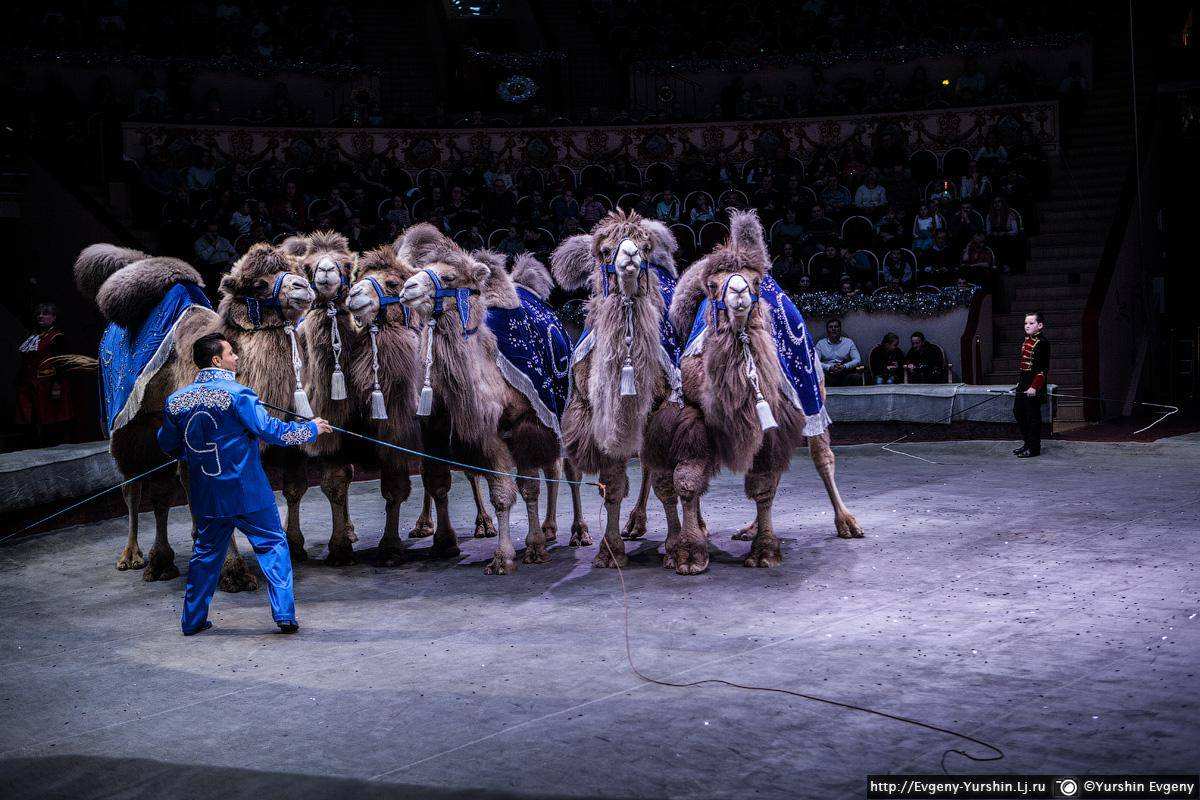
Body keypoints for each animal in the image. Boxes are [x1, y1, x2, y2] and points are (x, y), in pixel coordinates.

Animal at [393, 225, 561, 573]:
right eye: (417, 271)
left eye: (449, 277)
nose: (408, 288)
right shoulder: (476, 431)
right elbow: (495, 491)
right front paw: (497, 555)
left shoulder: (527, 420)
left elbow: (529, 487)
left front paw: (533, 547)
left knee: (555, 468)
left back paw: (559, 529)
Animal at [552, 206, 686, 568]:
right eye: (605, 249)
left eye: (646, 246)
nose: (630, 258)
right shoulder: (596, 416)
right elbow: (611, 484)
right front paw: (609, 551)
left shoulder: (660, 409)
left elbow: (665, 482)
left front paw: (676, 545)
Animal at [648, 211, 864, 575]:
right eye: (713, 285)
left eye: (755, 281)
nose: (738, 292)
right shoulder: (689, 414)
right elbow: (687, 480)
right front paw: (689, 553)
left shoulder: (775, 420)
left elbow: (763, 485)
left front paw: (764, 550)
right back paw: (737, 528)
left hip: (814, 391)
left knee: (822, 457)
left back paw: (846, 522)